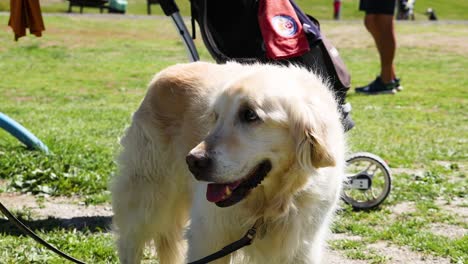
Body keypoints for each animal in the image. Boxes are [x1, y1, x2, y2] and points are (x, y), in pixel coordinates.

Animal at [111, 60, 346, 262]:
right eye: (216, 117)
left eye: (249, 115)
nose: (192, 161)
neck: (268, 205)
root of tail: (165, 73)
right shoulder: (209, 238)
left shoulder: (302, 248)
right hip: (147, 201)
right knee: (130, 242)